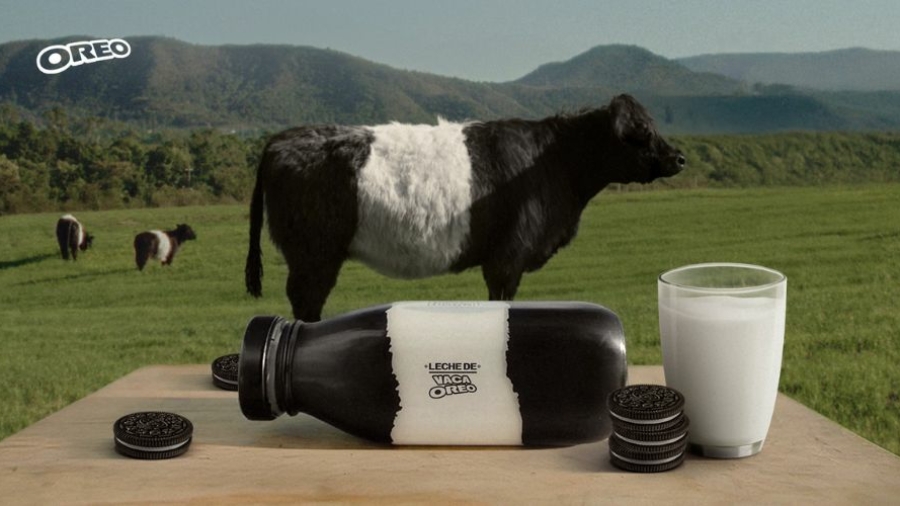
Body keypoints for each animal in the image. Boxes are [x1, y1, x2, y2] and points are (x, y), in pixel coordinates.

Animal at [245, 94, 685, 322]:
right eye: (640, 132)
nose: (679, 158)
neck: (555, 161)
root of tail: (280, 139)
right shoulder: (507, 258)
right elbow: (501, 303)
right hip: (315, 255)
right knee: (306, 301)